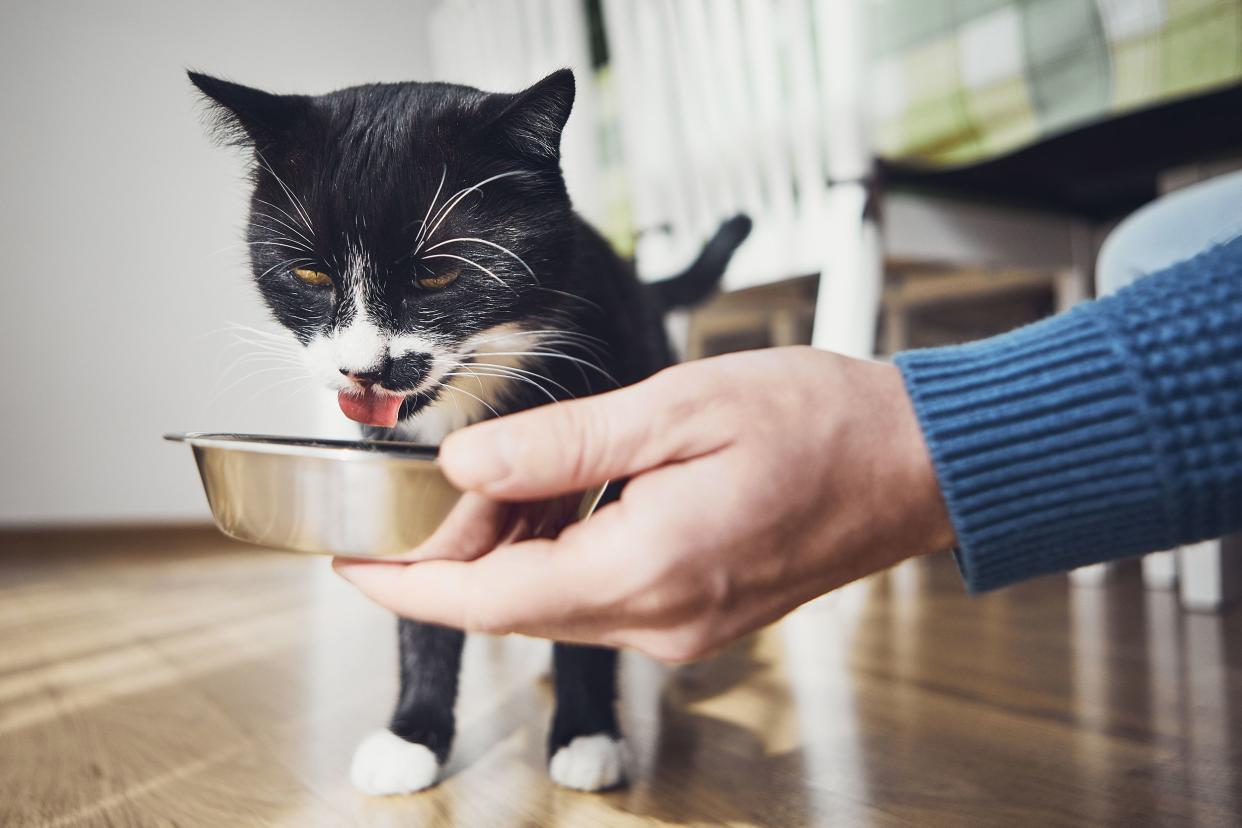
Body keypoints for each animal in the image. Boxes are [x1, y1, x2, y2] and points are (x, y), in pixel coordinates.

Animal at [185, 69, 745, 794]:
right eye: (310, 272)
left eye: (438, 273)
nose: (364, 369)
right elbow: (422, 597)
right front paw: (412, 735)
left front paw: (587, 733)